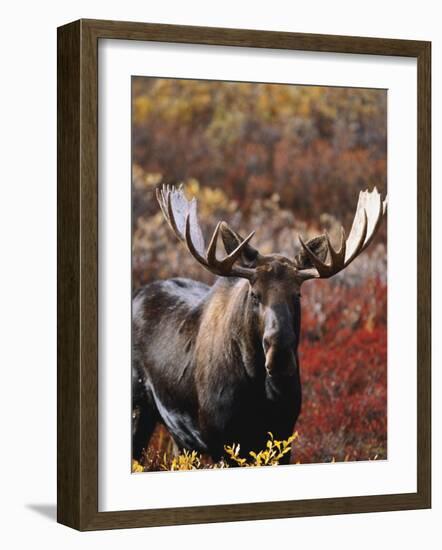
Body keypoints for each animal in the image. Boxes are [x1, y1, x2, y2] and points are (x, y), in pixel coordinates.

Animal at [132, 185, 386, 466]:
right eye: (255, 294)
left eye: (298, 294)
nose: (280, 356)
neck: (258, 390)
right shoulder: (220, 440)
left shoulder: (283, 435)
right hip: (139, 410)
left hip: (181, 439)